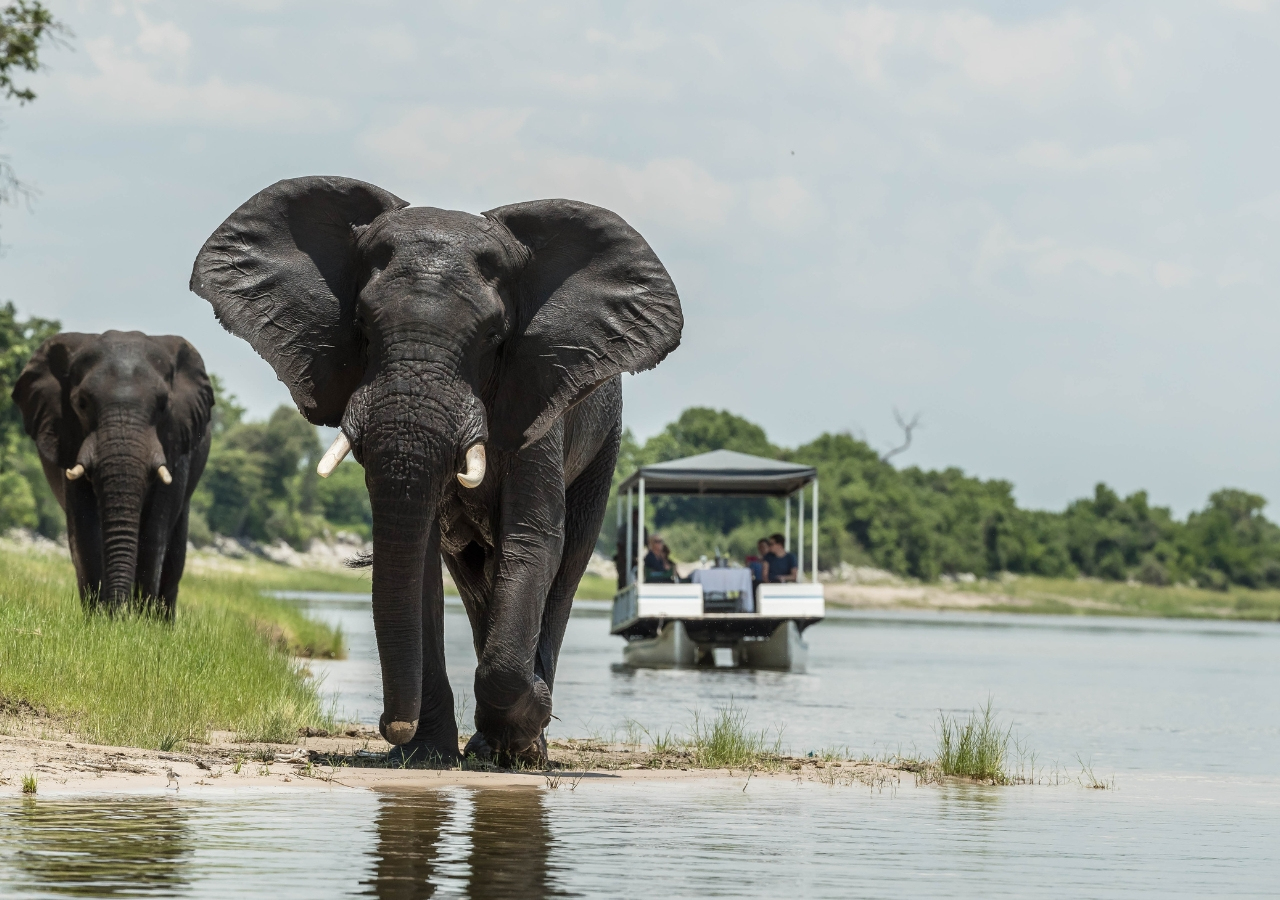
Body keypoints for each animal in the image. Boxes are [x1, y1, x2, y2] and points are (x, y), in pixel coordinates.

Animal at [12, 330, 213, 617]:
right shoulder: (70, 438)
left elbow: (155, 529)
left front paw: (139, 621)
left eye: (163, 406)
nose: (119, 614)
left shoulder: (176, 442)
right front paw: (99, 618)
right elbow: (85, 528)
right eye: (82, 404)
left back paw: (160, 621)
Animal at [191, 176, 682, 764]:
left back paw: (522, 745)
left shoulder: (538, 396)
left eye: (494, 338)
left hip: (604, 441)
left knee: (566, 568)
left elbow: (531, 538)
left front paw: (526, 727)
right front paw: (424, 756)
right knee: (473, 580)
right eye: (361, 326)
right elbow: (419, 554)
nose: (389, 725)